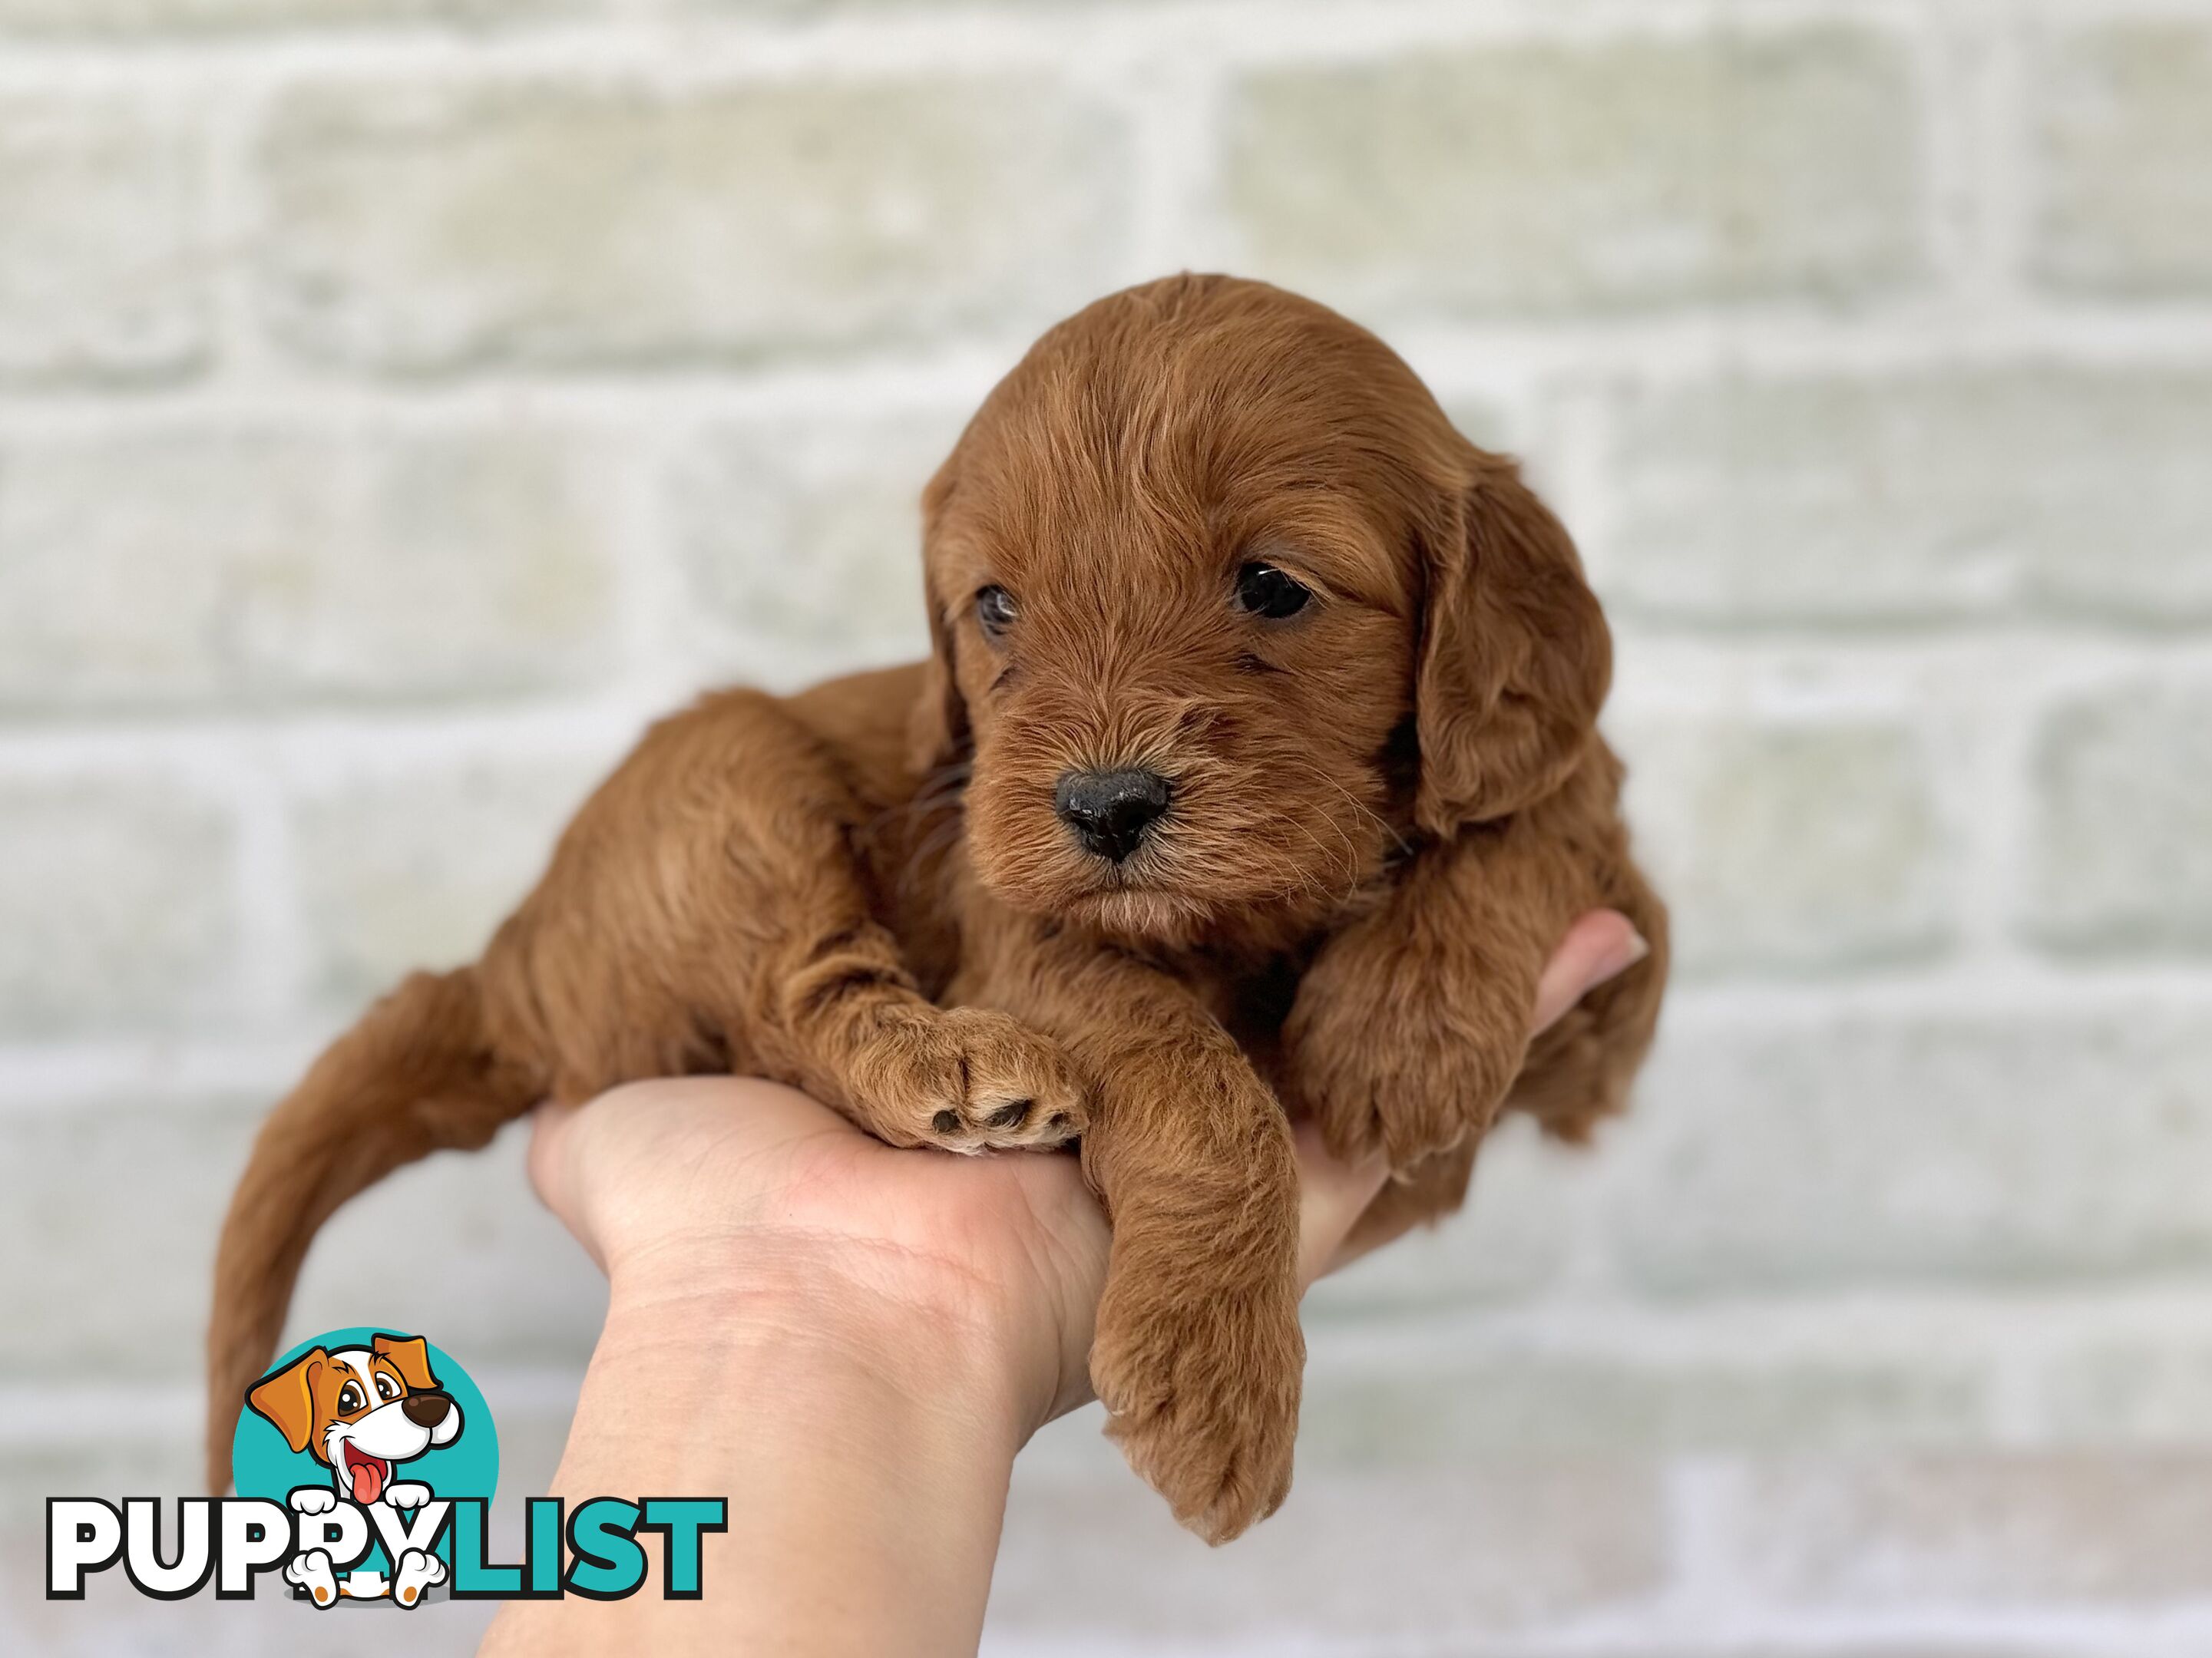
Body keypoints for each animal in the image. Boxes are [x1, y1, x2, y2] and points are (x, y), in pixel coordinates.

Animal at [207, 272, 1663, 1547]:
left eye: (1273, 586)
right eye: (997, 606)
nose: (1102, 809)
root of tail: (508, 956)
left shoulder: (1608, 979)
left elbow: (1539, 820)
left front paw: (1401, 1028)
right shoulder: (1011, 923)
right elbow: (1196, 1079)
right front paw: (1217, 1384)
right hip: (729, 791)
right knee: (799, 1005)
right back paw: (957, 1073)